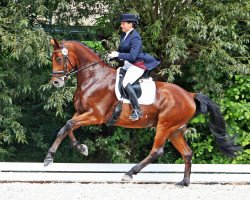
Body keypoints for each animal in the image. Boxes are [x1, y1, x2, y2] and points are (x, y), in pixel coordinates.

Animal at [44, 38, 241, 186]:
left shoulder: (95, 116)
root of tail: (189, 95)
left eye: (59, 59)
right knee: (187, 153)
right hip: (176, 130)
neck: (94, 77)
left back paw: (130, 173)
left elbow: (68, 125)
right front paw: (65, 153)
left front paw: (64, 153)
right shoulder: (81, 113)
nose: (56, 83)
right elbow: (66, 128)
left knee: (157, 151)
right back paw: (184, 182)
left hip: (164, 125)